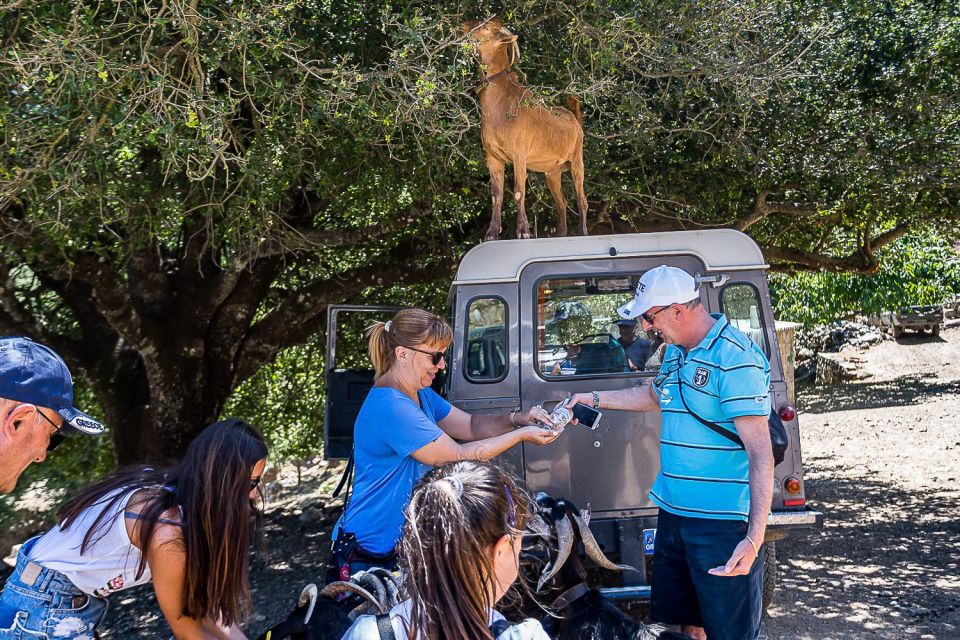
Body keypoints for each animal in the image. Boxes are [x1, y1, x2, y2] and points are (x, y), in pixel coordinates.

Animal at [462, 19, 588, 242]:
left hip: (576, 159)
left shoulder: (519, 155)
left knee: (581, 198)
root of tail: (574, 119)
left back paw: (583, 233)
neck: (502, 105)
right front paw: (492, 234)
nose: (462, 27)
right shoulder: (493, 158)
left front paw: (524, 231)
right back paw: (561, 234)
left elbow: (519, 191)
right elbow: (496, 195)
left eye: (486, 28)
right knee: (561, 201)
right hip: (552, 171)